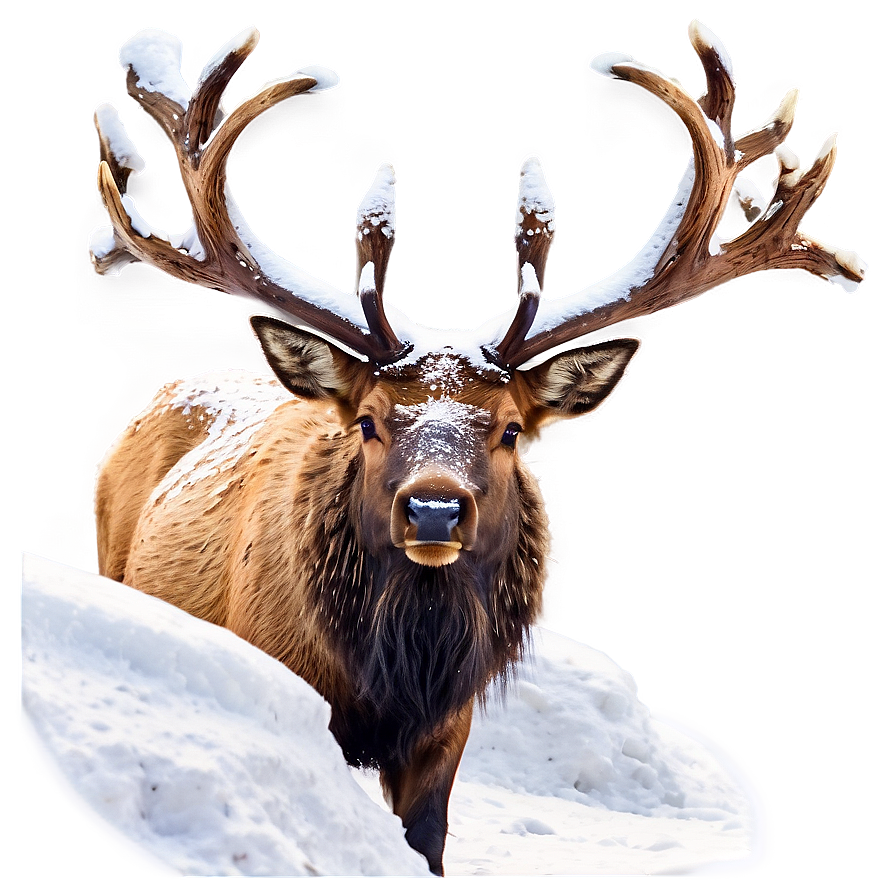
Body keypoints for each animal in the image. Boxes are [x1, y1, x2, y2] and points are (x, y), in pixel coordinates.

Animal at [89, 21, 865, 875]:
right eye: (369, 420)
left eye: (510, 428)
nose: (434, 510)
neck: (392, 684)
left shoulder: (448, 733)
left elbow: (427, 844)